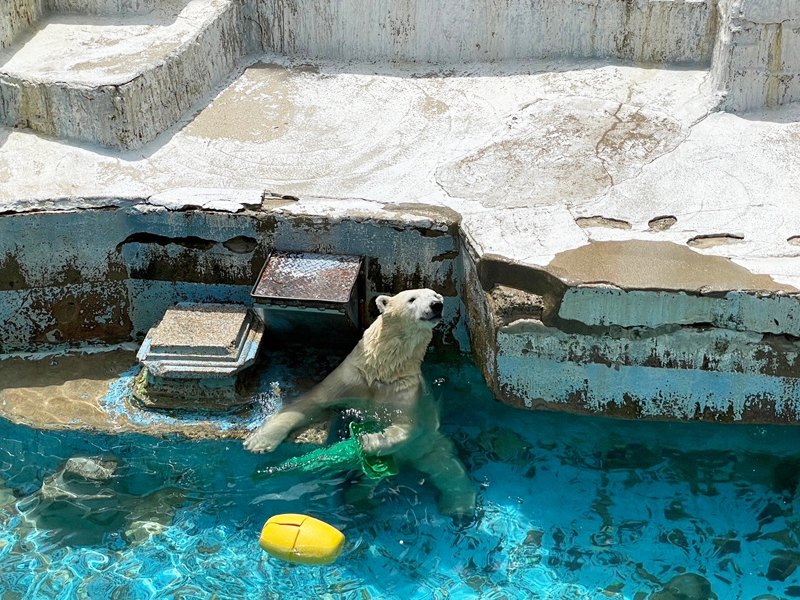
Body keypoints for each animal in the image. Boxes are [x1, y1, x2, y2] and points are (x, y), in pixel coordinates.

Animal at [244, 288, 478, 516]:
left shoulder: (406, 392)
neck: (382, 371)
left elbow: (407, 427)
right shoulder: (351, 378)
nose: (437, 305)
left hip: (431, 446)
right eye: (412, 298)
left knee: (449, 469)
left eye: (436, 296)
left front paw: (364, 440)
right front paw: (258, 443)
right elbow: (311, 402)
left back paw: (458, 506)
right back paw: (357, 497)